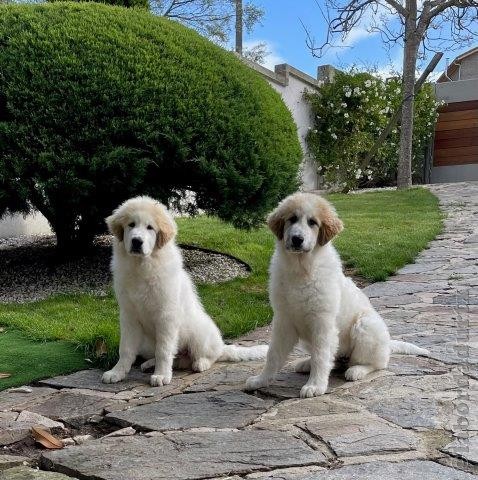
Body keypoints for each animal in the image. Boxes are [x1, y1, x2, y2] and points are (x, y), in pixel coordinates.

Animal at [102, 195, 268, 386]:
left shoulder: (166, 316)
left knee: (210, 355)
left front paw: (161, 375)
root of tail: (221, 345)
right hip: (146, 342)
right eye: (131, 224)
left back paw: (200, 363)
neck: (142, 266)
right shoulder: (129, 316)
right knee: (175, 358)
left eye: (150, 227)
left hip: (198, 333)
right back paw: (149, 364)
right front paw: (117, 372)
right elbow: (126, 349)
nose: (137, 241)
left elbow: (163, 350)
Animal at [246, 191, 430, 398]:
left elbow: (321, 355)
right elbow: (273, 354)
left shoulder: (322, 322)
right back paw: (306, 363)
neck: (301, 269)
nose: (297, 239)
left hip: (365, 325)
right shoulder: (283, 320)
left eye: (312, 222)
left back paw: (356, 370)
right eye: (292, 219)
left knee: (377, 363)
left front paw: (315, 386)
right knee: (333, 360)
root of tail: (387, 344)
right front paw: (261, 380)